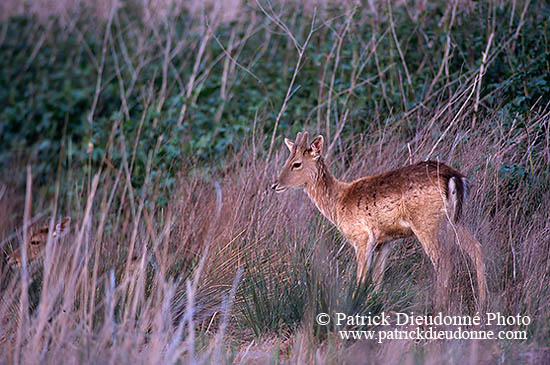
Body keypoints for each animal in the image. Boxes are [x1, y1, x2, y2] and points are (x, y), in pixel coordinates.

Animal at [274, 131, 490, 304]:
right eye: (286, 161)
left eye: (296, 164)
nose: (275, 185)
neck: (337, 204)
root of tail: (454, 176)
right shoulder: (385, 241)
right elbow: (377, 278)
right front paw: (373, 303)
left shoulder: (361, 236)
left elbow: (361, 278)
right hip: (455, 218)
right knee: (476, 247)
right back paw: (482, 303)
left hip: (426, 221)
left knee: (442, 259)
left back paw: (439, 307)